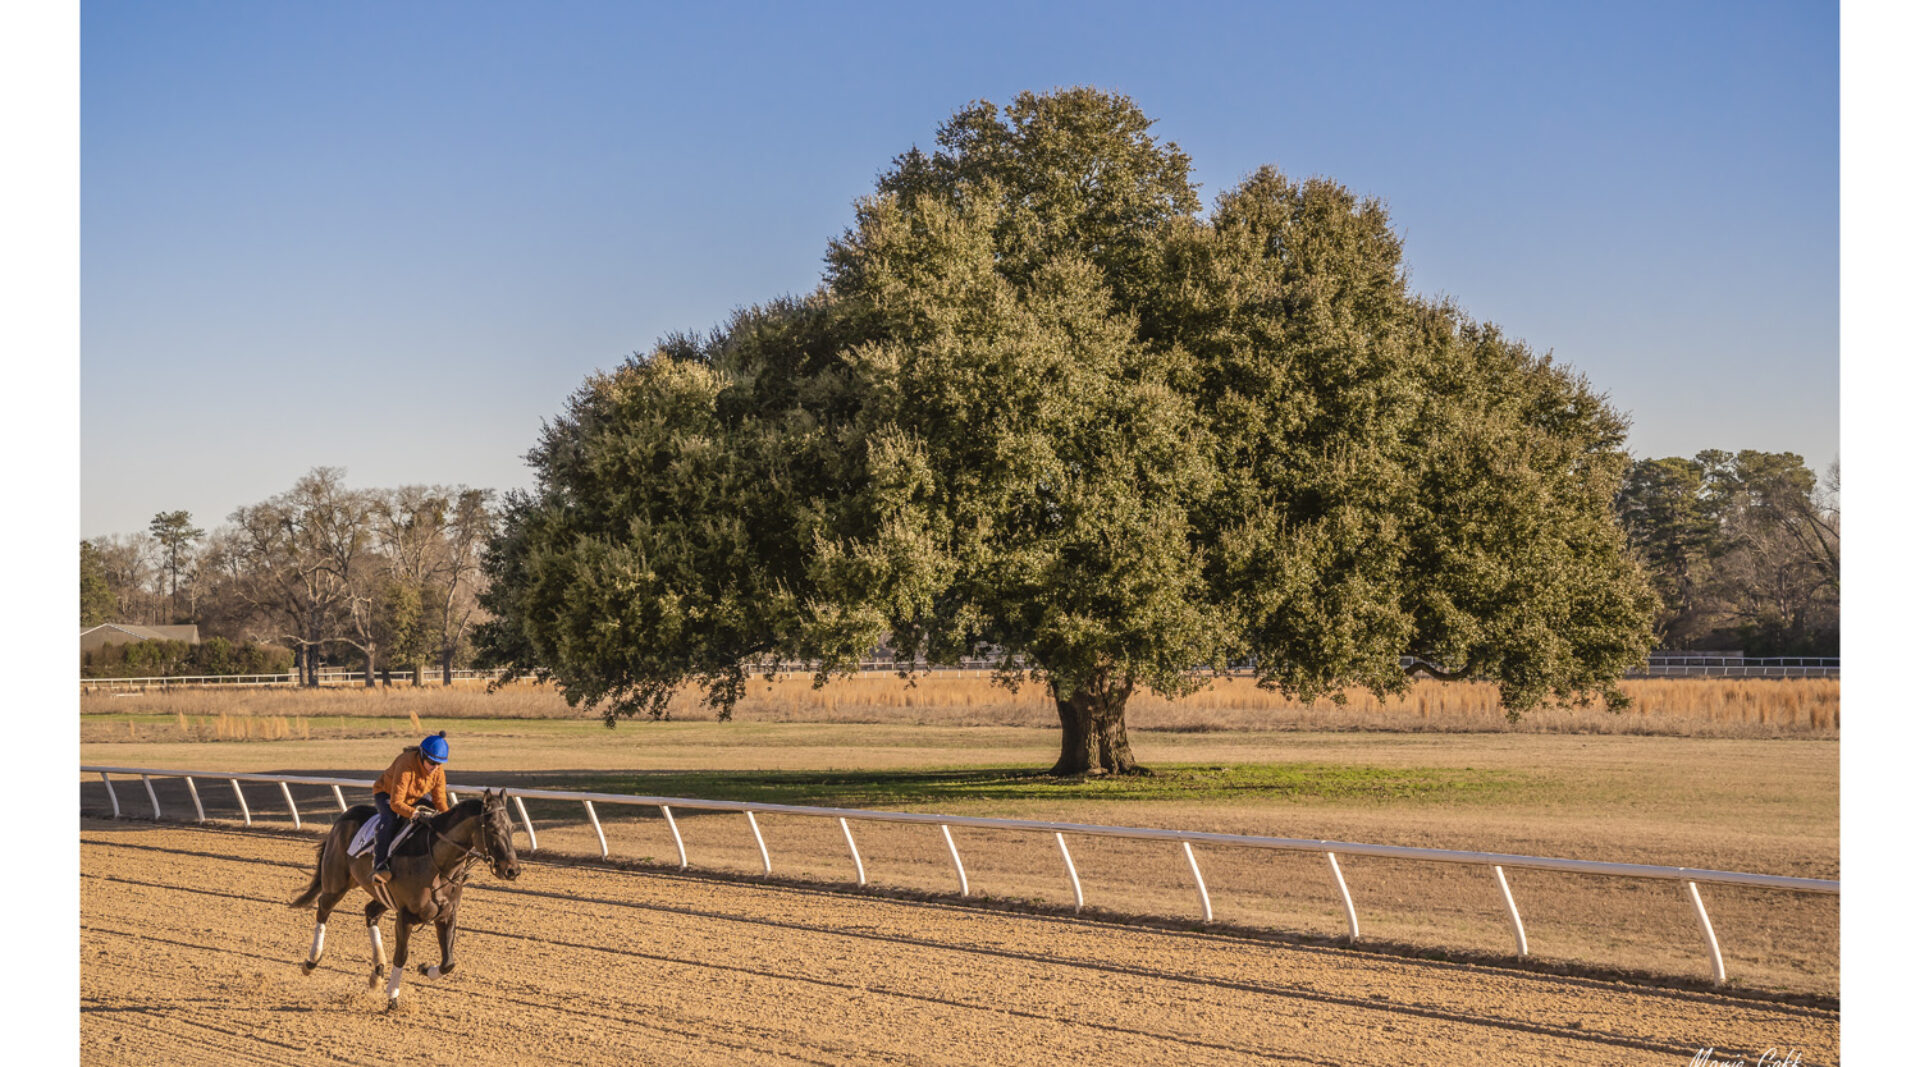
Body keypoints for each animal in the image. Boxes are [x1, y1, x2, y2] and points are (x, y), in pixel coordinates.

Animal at [288, 782, 522, 1005]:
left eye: (511, 828)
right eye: (493, 828)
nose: (512, 870)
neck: (437, 864)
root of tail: (343, 818)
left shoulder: (446, 914)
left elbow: (448, 962)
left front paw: (425, 969)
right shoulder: (405, 916)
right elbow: (401, 955)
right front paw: (392, 996)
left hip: (380, 896)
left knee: (370, 912)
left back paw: (377, 972)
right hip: (336, 883)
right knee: (323, 909)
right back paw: (311, 961)